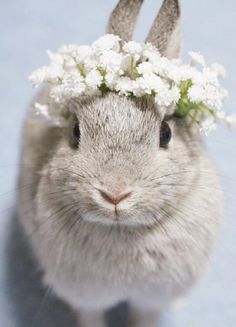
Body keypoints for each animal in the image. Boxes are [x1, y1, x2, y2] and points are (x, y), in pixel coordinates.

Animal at [18, 0, 223, 327]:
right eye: (75, 132)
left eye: (165, 133)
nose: (115, 194)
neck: (122, 229)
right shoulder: (86, 298)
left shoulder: (150, 300)